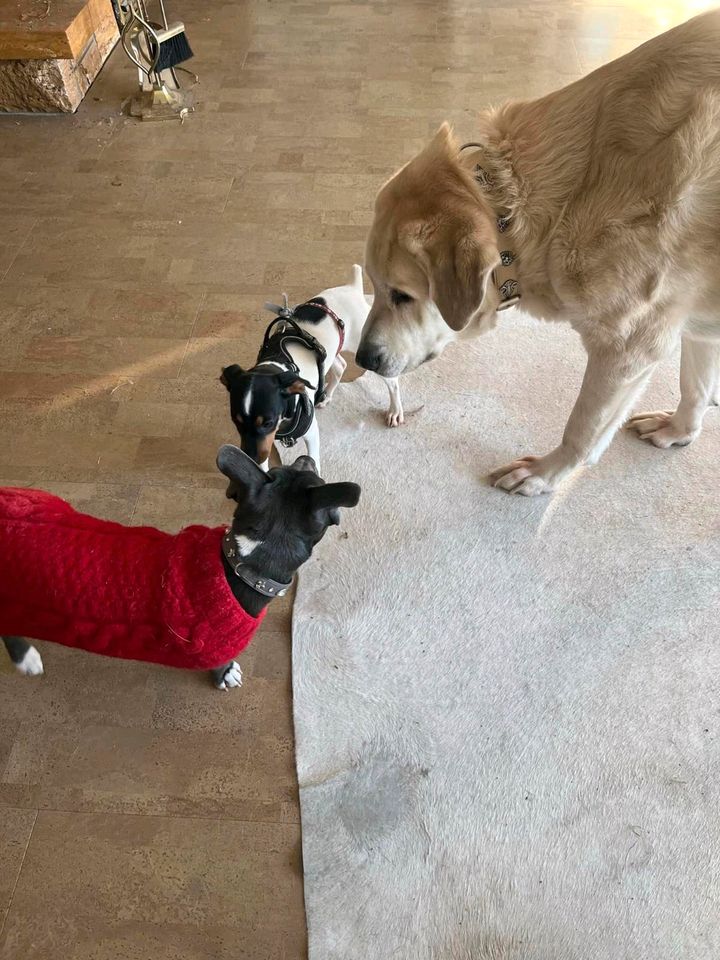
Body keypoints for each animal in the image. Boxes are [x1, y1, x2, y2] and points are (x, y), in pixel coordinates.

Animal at [0, 442, 360, 688]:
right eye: (315, 477)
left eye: (281, 473)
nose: (303, 455)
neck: (242, 561)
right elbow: (220, 664)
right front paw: (226, 674)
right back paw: (26, 658)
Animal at [358, 11, 720, 496]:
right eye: (374, 286)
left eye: (402, 295)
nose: (362, 360)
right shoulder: (694, 318)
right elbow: (695, 384)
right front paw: (681, 430)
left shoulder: (629, 347)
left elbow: (582, 432)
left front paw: (547, 474)